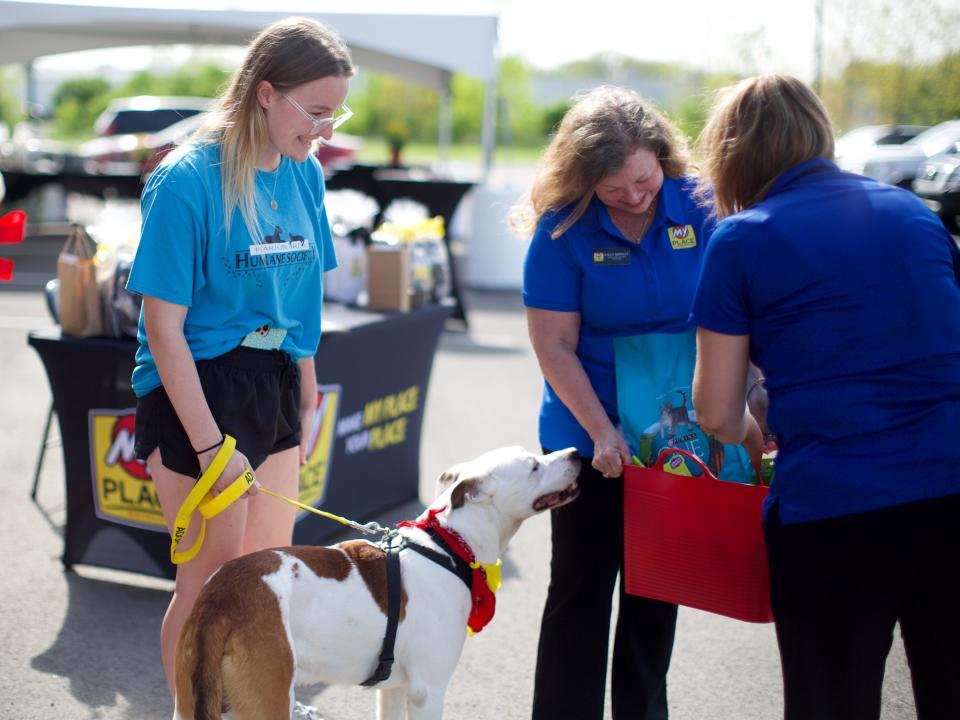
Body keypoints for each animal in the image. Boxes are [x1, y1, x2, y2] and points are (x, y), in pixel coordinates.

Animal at [174, 444, 576, 720]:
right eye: (534, 466)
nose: (574, 452)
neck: (449, 543)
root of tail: (220, 599)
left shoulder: (393, 689)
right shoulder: (427, 691)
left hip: (191, 699)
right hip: (268, 702)